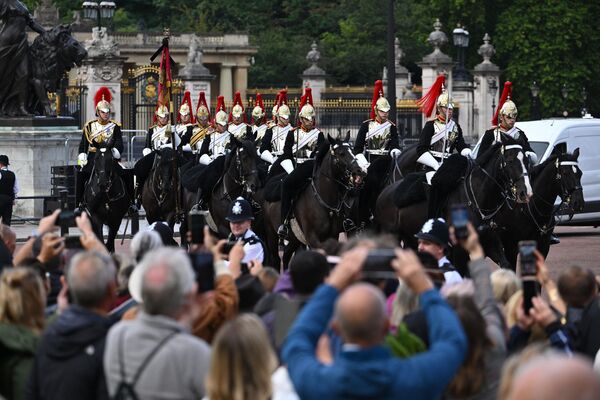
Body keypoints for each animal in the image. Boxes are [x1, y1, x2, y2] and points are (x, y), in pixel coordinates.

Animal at [266, 134, 368, 268]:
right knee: (275, 259)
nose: (360, 171)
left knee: (287, 256)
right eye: (341, 153)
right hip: (272, 234)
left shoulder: (333, 235)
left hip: (294, 239)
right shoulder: (313, 238)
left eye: (352, 151)